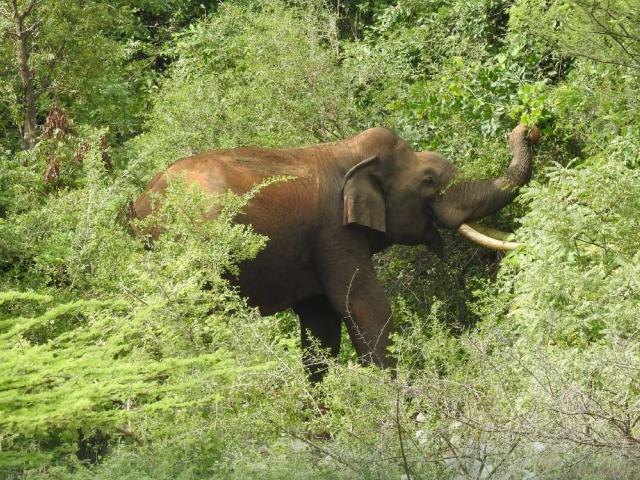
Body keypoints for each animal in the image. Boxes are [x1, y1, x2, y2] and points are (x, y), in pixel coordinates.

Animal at [134, 124, 540, 382]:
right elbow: (364, 306)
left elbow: (321, 325)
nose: (528, 128)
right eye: (428, 182)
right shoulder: (334, 233)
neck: (346, 152)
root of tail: (139, 205)